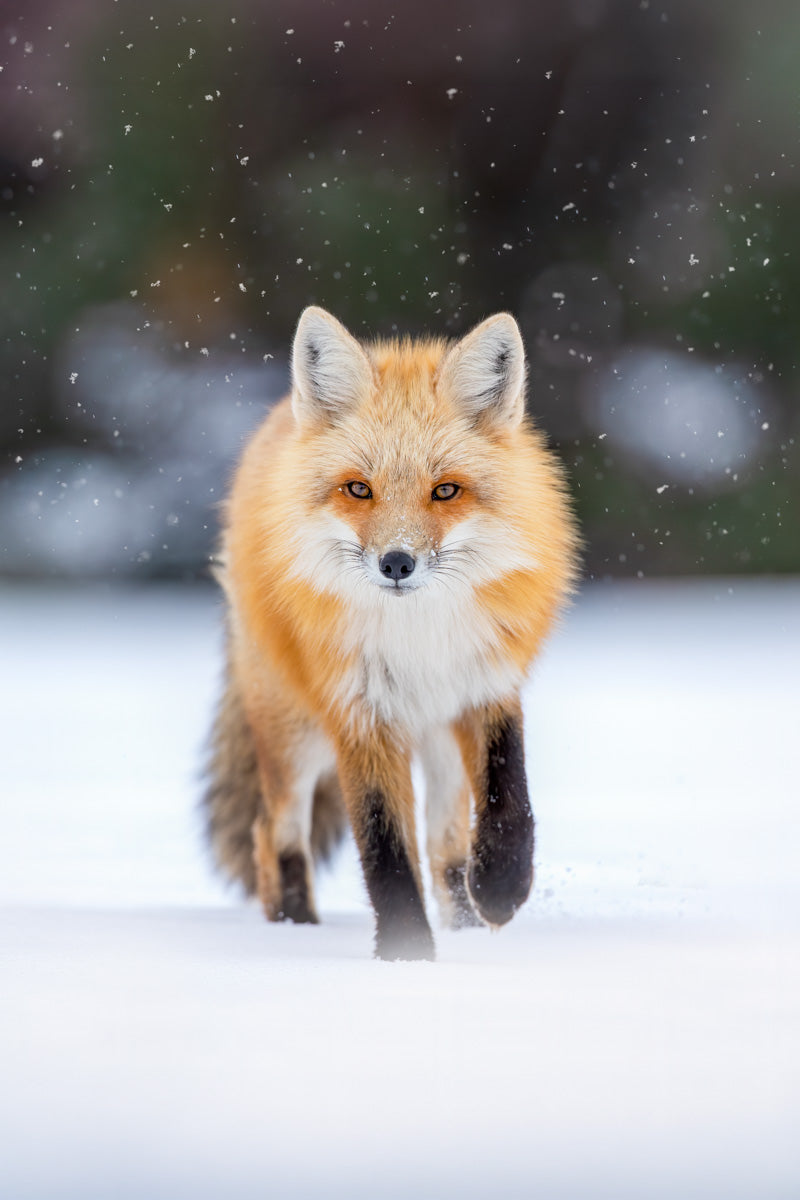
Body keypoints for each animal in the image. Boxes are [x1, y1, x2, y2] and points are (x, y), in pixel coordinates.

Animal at [203, 305, 579, 960]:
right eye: (359, 488)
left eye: (446, 490)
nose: (397, 563)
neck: (418, 641)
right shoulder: (360, 714)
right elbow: (385, 849)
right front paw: (406, 956)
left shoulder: (486, 684)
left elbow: (510, 800)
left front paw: (502, 887)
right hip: (294, 733)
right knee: (273, 833)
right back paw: (294, 931)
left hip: (436, 739)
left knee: (445, 846)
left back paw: (468, 923)